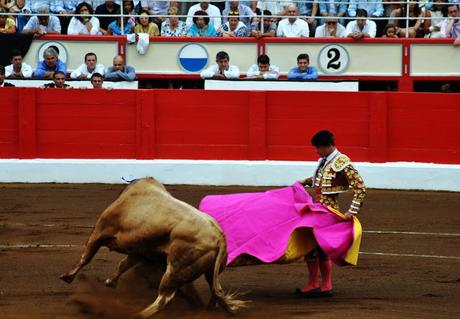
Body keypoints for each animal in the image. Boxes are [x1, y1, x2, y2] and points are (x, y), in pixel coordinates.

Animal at [59, 178, 246, 318]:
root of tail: (219, 236)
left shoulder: (99, 231)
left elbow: (86, 256)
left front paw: (67, 276)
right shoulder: (140, 251)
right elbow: (123, 264)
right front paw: (110, 282)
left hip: (175, 269)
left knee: (164, 298)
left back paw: (137, 314)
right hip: (208, 271)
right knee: (216, 290)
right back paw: (207, 309)